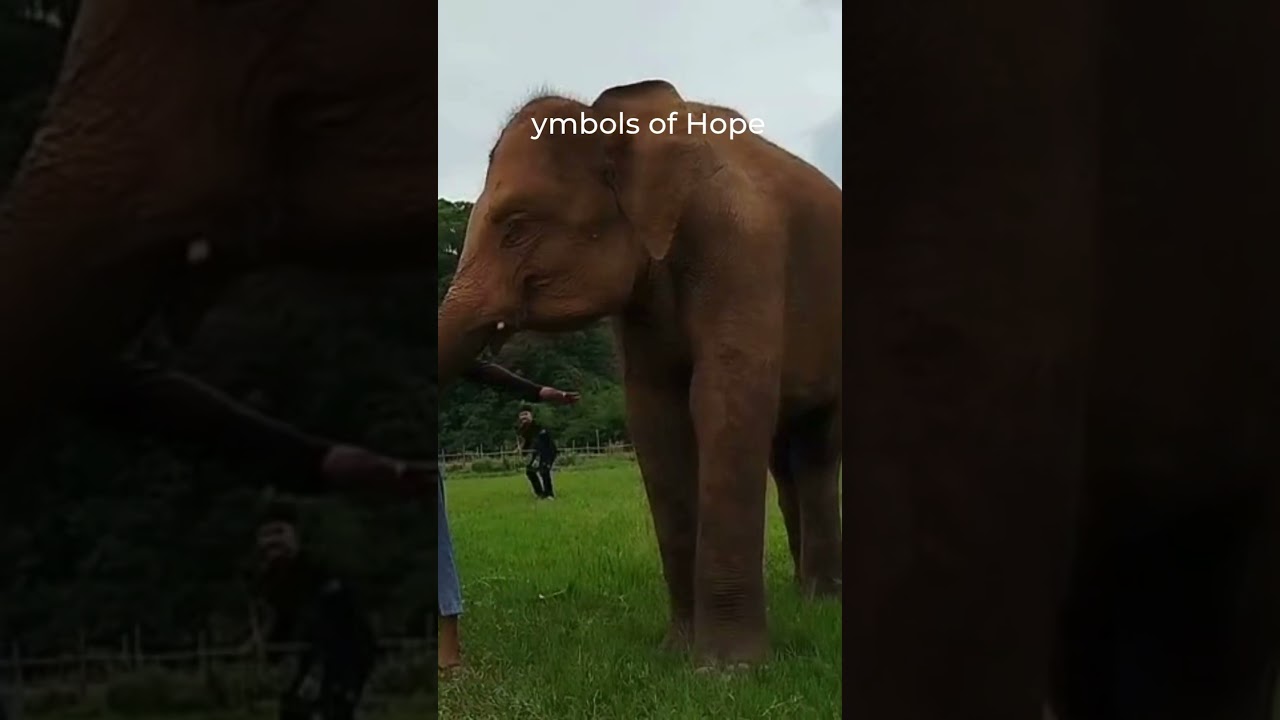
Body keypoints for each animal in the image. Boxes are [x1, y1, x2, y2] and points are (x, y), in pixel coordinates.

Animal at [436, 79, 843, 668]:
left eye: (517, 228)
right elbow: (655, 415)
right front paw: (677, 654)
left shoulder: (744, 250)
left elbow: (722, 401)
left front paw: (727, 670)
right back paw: (800, 593)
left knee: (816, 450)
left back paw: (820, 599)